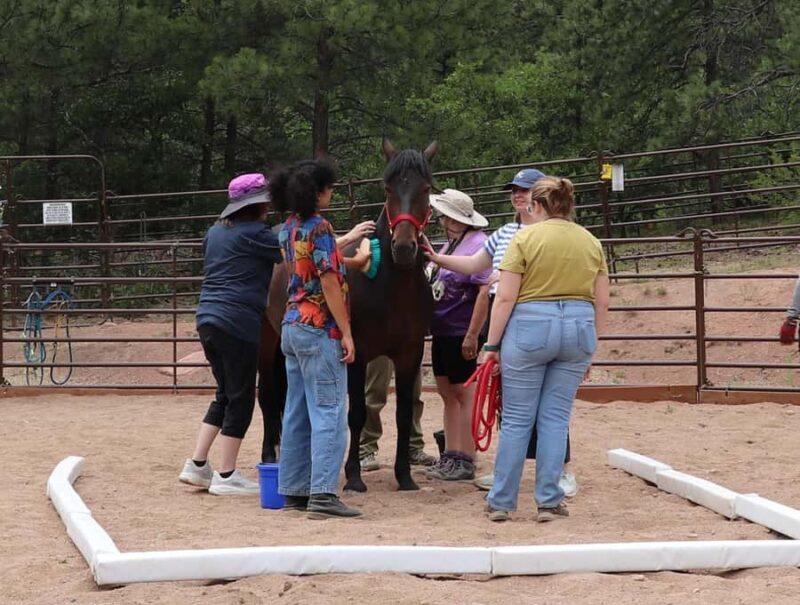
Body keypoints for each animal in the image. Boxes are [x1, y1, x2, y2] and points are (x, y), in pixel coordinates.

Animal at [257, 139, 437, 492]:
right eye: (388, 188)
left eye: (425, 189)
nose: (404, 248)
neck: (390, 287)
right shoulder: (357, 355)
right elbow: (356, 414)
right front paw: (354, 476)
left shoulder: (410, 355)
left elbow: (404, 414)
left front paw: (405, 476)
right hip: (264, 341)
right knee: (268, 396)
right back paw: (271, 456)